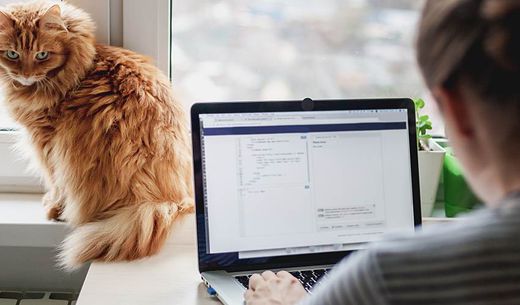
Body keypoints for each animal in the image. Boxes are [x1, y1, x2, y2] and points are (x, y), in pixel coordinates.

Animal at [0, 1, 194, 268]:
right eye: (12, 54)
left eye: (42, 55)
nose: (25, 75)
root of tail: (169, 200)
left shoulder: (46, 142)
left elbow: (54, 181)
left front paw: (53, 207)